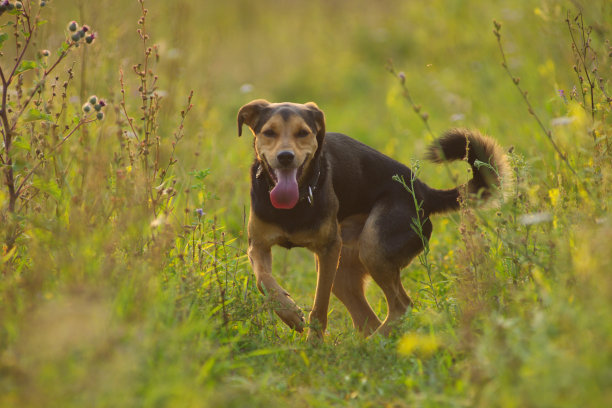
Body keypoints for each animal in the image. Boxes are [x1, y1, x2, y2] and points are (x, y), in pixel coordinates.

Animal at [237, 99, 510, 342]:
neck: (296, 202)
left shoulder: (328, 250)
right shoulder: (258, 245)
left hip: (371, 249)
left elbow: (319, 308)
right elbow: (264, 280)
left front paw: (313, 344)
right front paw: (289, 313)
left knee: (402, 306)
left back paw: (368, 346)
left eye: (303, 133)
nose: (285, 156)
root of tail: (422, 191)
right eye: (269, 132)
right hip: (343, 270)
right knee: (369, 319)